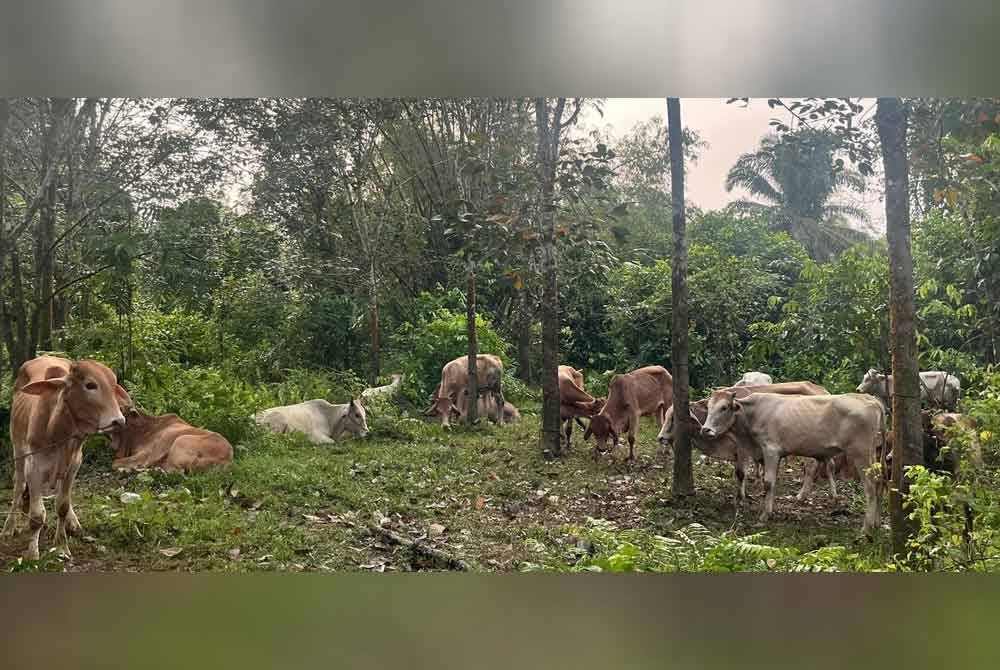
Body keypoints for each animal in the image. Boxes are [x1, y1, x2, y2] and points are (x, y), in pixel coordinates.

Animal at [1, 356, 131, 560]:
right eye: (90, 385)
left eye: (113, 385)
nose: (118, 421)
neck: (60, 433)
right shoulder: (33, 467)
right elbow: (37, 516)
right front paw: (32, 554)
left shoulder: (74, 465)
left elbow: (62, 505)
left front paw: (61, 546)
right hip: (18, 451)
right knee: (18, 487)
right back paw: (9, 526)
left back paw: (73, 523)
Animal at [660, 380, 832, 502]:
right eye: (667, 416)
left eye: (674, 418)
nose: (660, 437)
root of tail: (823, 391)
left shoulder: (743, 450)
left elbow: (741, 473)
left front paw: (741, 497)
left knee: (810, 468)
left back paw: (801, 495)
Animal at [700, 392, 888, 540]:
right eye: (709, 407)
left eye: (724, 407)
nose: (705, 430)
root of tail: (870, 399)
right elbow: (771, 483)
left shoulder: (770, 450)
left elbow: (768, 483)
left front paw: (764, 516)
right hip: (873, 455)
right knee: (879, 482)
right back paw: (877, 523)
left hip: (860, 454)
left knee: (870, 487)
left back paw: (866, 528)